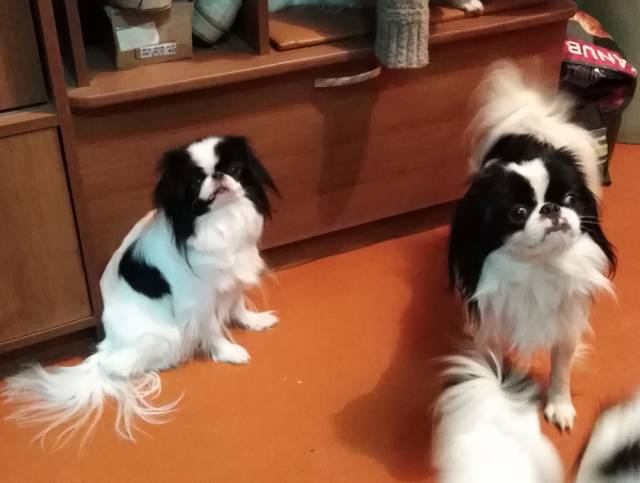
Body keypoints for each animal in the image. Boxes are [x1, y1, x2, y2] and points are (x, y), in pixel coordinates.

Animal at [3, 136, 278, 447]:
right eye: (196, 180)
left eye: (234, 168)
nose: (217, 176)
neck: (221, 219)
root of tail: (107, 346)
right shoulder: (198, 299)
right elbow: (211, 329)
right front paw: (228, 352)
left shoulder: (230, 278)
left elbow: (237, 304)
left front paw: (254, 322)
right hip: (162, 336)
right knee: (120, 367)